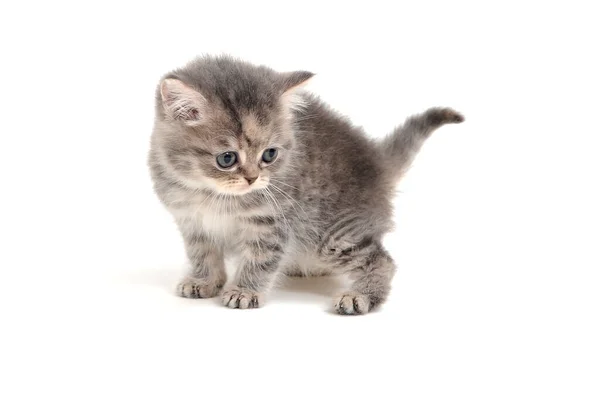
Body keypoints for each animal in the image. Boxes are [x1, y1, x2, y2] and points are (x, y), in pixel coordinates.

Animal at [149, 54, 464, 314]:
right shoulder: (192, 223)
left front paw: (244, 291)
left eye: (269, 155)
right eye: (226, 158)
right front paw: (203, 281)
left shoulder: (272, 222)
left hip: (335, 235)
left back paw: (359, 296)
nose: (253, 178)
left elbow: (260, 259)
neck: (209, 193)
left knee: (381, 260)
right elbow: (202, 254)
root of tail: (377, 161)